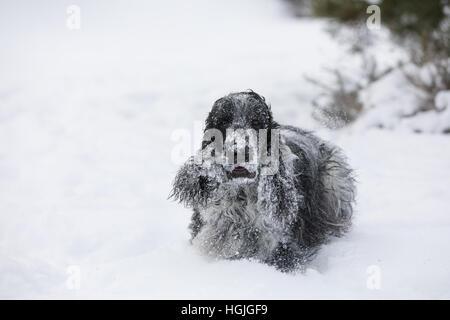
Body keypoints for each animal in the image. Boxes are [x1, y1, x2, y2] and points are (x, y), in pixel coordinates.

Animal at [169, 90, 356, 272]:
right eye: (223, 121)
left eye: (257, 123)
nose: (239, 151)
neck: (242, 199)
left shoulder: (282, 249)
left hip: (334, 179)